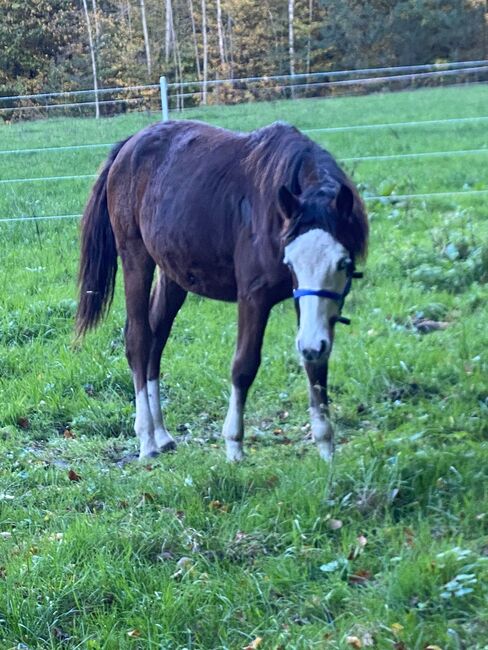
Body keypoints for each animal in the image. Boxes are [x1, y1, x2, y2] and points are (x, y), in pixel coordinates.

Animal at [75, 120, 366, 460]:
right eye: (290, 262)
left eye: (343, 263)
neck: (271, 216)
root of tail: (130, 144)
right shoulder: (253, 296)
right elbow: (244, 366)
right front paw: (234, 446)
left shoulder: (306, 304)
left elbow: (316, 367)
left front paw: (326, 449)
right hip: (136, 258)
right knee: (138, 340)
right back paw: (146, 439)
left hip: (172, 274)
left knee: (157, 339)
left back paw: (162, 434)